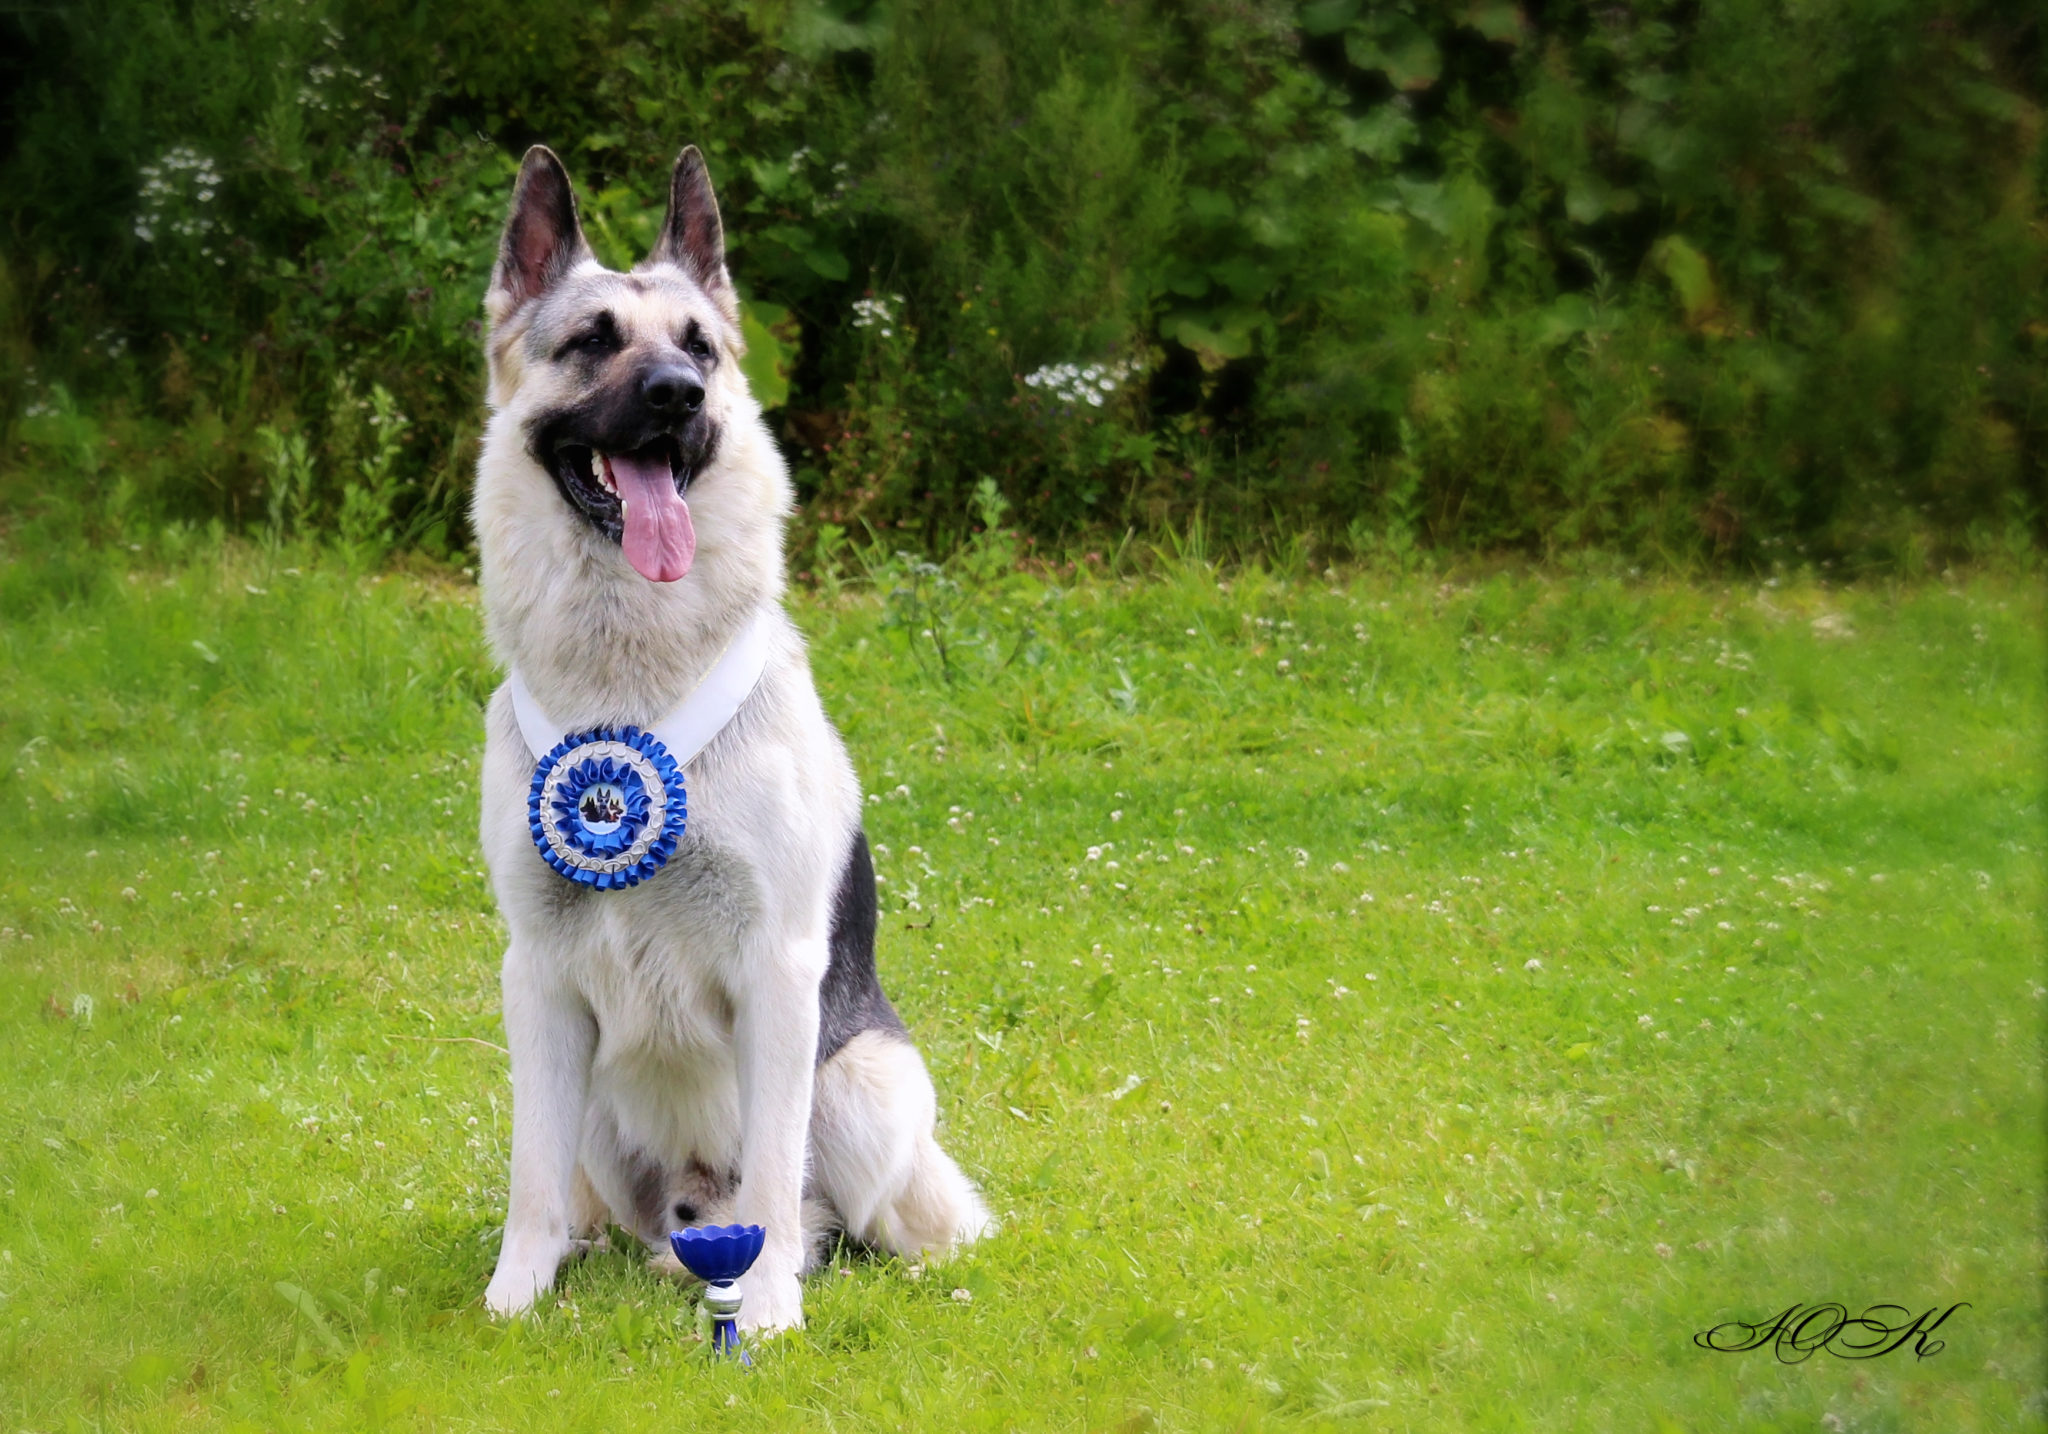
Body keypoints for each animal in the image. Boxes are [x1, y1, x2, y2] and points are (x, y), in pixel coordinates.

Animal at [475, 145, 995, 1335]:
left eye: (699, 347)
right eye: (593, 341)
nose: (678, 395)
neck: (624, 687)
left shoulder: (777, 968)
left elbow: (769, 1176)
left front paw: (761, 1311)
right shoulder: (535, 978)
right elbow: (531, 1172)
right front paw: (516, 1293)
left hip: (865, 1080)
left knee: (848, 1213)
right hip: (602, 1105)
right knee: (604, 1200)